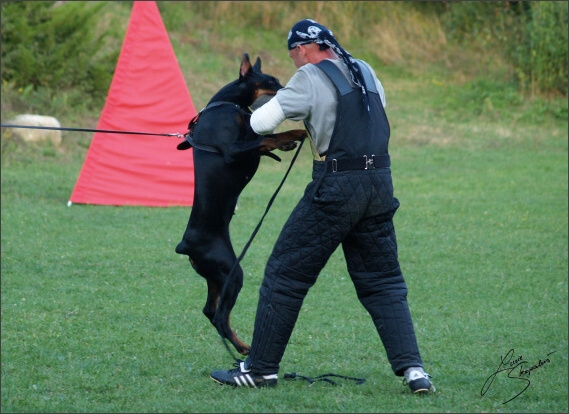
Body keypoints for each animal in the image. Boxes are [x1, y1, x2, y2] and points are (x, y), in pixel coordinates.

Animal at [175, 52, 306, 356]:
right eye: (271, 81)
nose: (287, 90)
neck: (226, 103)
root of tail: (185, 245)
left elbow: (265, 139)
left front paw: (288, 142)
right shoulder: (235, 150)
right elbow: (268, 138)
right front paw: (295, 133)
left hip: (216, 276)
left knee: (210, 311)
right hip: (231, 272)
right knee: (220, 316)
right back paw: (244, 347)